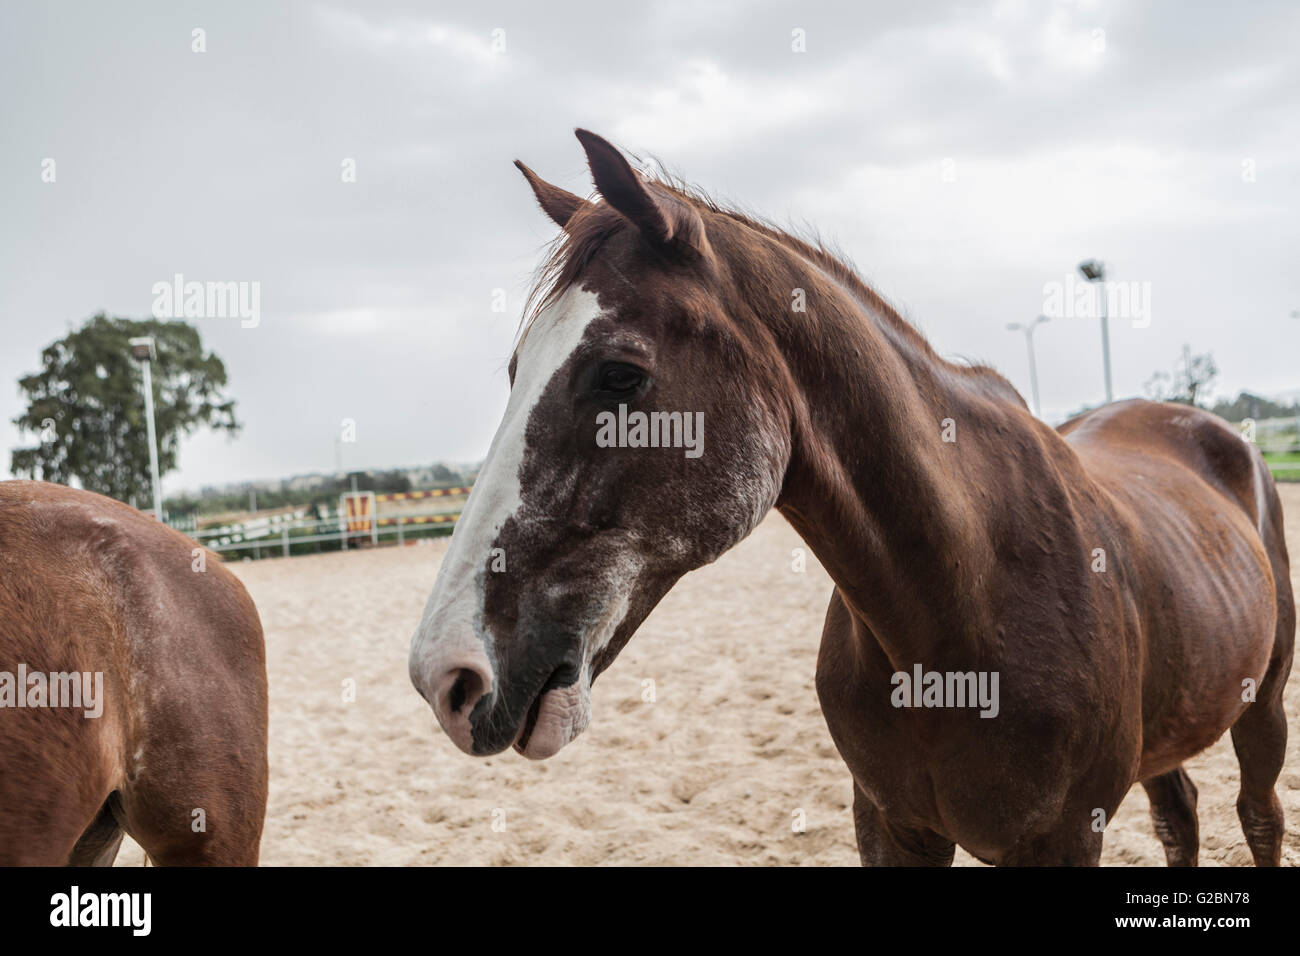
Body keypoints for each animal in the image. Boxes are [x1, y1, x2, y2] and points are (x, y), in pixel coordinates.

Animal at [408, 129, 1294, 866]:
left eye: (620, 375)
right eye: (516, 370)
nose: (445, 677)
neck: (963, 602)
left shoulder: (1066, 839)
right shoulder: (889, 826)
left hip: (1262, 709)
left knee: (1257, 816)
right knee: (1180, 815)